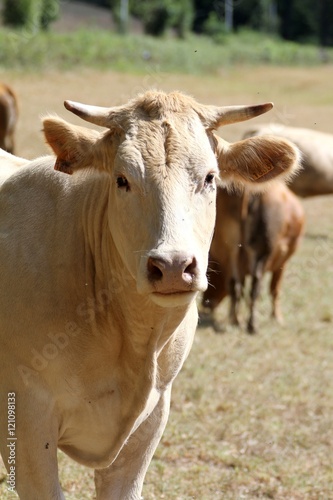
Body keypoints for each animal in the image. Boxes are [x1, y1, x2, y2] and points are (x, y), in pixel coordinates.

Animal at [201, 182, 304, 334]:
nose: (205, 303)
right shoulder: (282, 263)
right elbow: (275, 289)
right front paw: (277, 317)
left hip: (232, 248)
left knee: (235, 285)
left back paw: (236, 319)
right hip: (261, 250)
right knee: (255, 287)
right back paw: (251, 324)